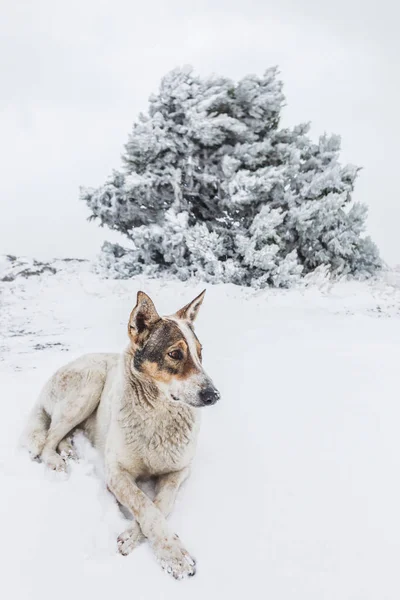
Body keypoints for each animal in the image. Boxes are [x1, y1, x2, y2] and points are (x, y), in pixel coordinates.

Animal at [21, 290, 220, 580]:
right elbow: (145, 505)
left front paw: (133, 536)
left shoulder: (180, 471)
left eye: (200, 353)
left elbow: (161, 503)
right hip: (89, 385)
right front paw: (174, 555)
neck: (158, 415)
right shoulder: (116, 474)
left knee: (62, 434)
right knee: (48, 437)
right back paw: (57, 461)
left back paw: (68, 450)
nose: (214, 395)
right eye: (175, 353)